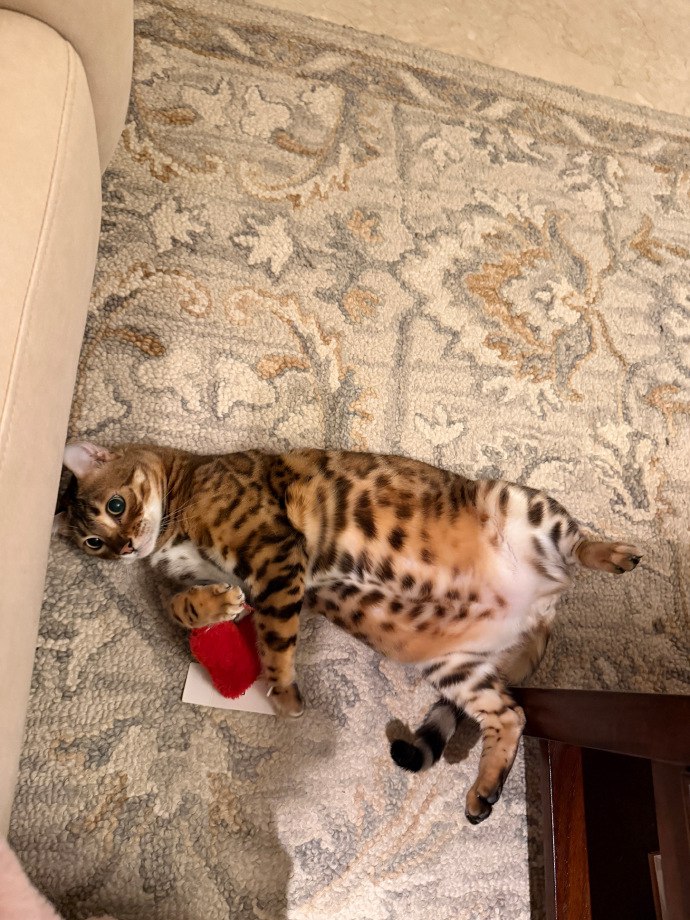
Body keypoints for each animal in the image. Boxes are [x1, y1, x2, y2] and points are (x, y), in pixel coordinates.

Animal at [54, 441, 642, 823]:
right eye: (92, 543)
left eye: (115, 506)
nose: (124, 547)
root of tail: (539, 608)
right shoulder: (247, 576)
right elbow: (184, 606)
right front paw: (213, 604)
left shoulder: (273, 553)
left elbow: (274, 638)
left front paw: (284, 694)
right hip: (454, 665)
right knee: (511, 716)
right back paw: (483, 791)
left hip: (520, 504)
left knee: (577, 545)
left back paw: (616, 555)